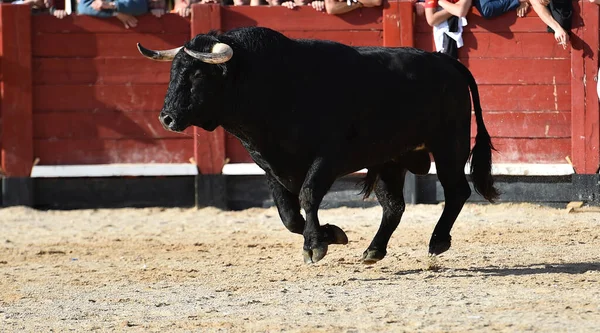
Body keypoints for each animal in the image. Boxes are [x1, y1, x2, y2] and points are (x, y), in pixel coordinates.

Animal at [138, 26, 500, 264]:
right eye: (173, 72)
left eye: (198, 75)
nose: (167, 118)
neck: (271, 84)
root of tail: (446, 62)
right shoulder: (269, 166)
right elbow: (288, 215)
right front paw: (332, 234)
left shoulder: (327, 158)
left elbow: (308, 195)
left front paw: (315, 246)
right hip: (391, 159)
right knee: (394, 206)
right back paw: (373, 250)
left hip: (449, 144)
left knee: (457, 191)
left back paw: (437, 241)